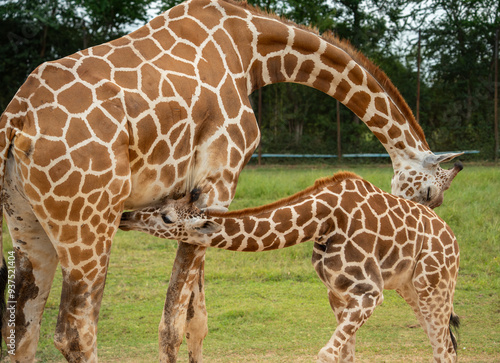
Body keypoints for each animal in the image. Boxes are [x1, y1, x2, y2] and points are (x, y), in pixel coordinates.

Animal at [121, 171, 460, 363]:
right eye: (161, 204)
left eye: (166, 217)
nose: (125, 215)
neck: (321, 221)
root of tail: (452, 237)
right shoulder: (338, 294)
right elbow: (345, 356)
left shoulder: (370, 292)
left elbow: (325, 354)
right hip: (411, 289)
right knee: (446, 346)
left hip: (435, 286)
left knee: (444, 349)